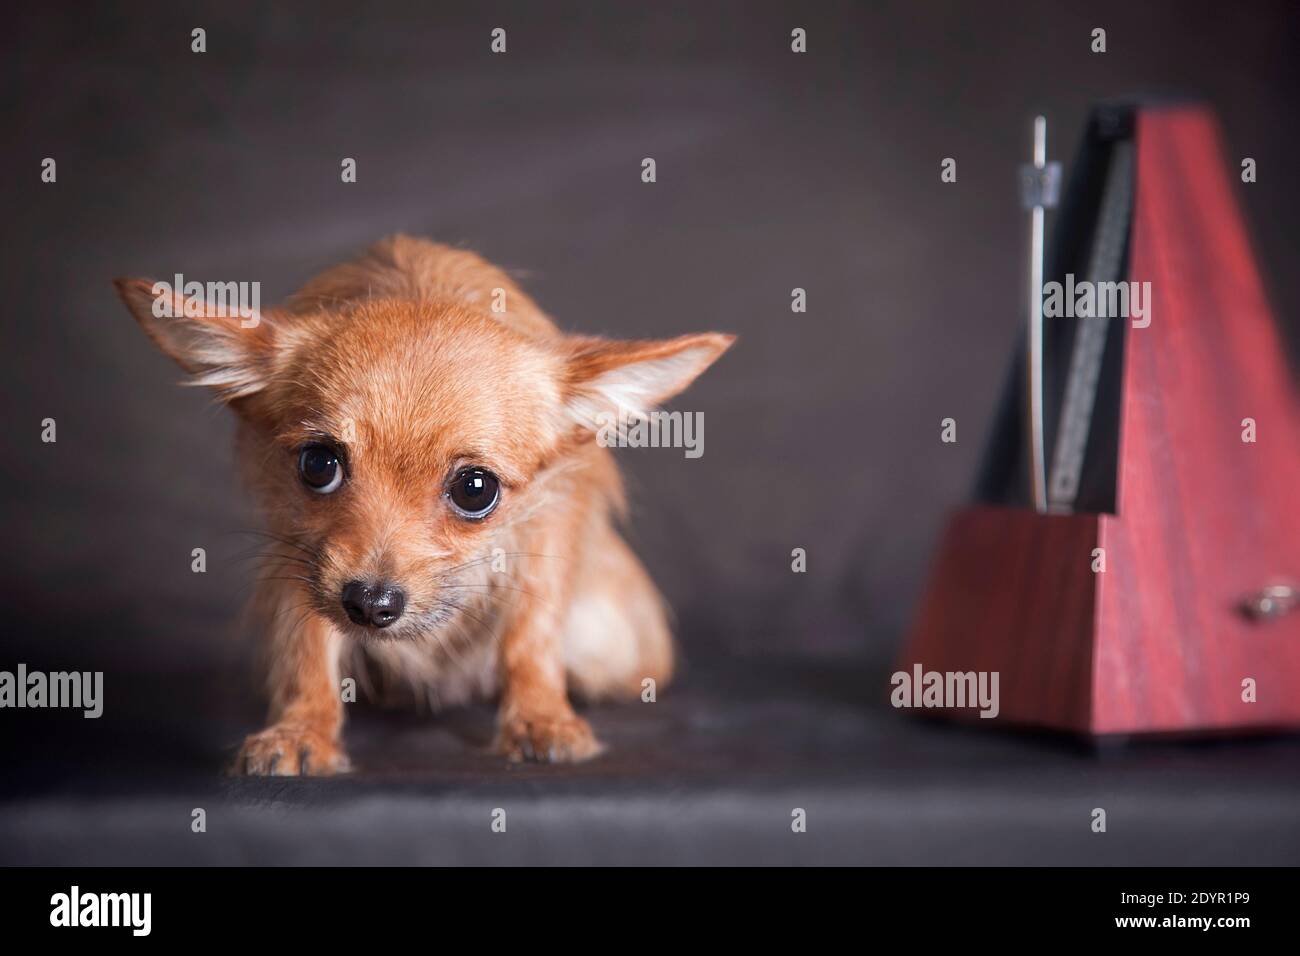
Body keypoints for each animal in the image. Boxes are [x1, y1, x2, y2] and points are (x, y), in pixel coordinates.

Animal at [113, 235, 733, 775]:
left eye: (475, 489)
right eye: (318, 465)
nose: (370, 604)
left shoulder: (548, 531)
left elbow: (530, 633)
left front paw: (539, 717)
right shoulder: (297, 551)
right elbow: (307, 646)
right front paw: (302, 727)